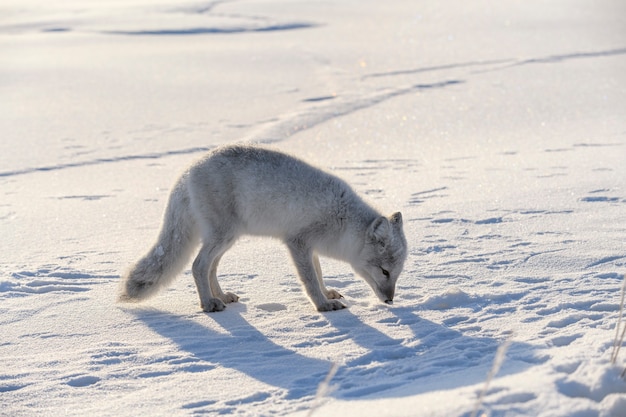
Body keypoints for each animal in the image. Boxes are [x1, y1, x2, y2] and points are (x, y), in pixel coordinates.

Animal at [119, 145, 408, 310]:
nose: (390, 300)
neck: (342, 218)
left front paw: (327, 293)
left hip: (227, 238)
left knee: (210, 267)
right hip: (223, 236)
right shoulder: (297, 242)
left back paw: (221, 297)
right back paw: (208, 304)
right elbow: (309, 279)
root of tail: (188, 170)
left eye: (396, 273)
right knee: (198, 266)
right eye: (384, 271)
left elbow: (319, 273)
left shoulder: (311, 247)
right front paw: (323, 305)